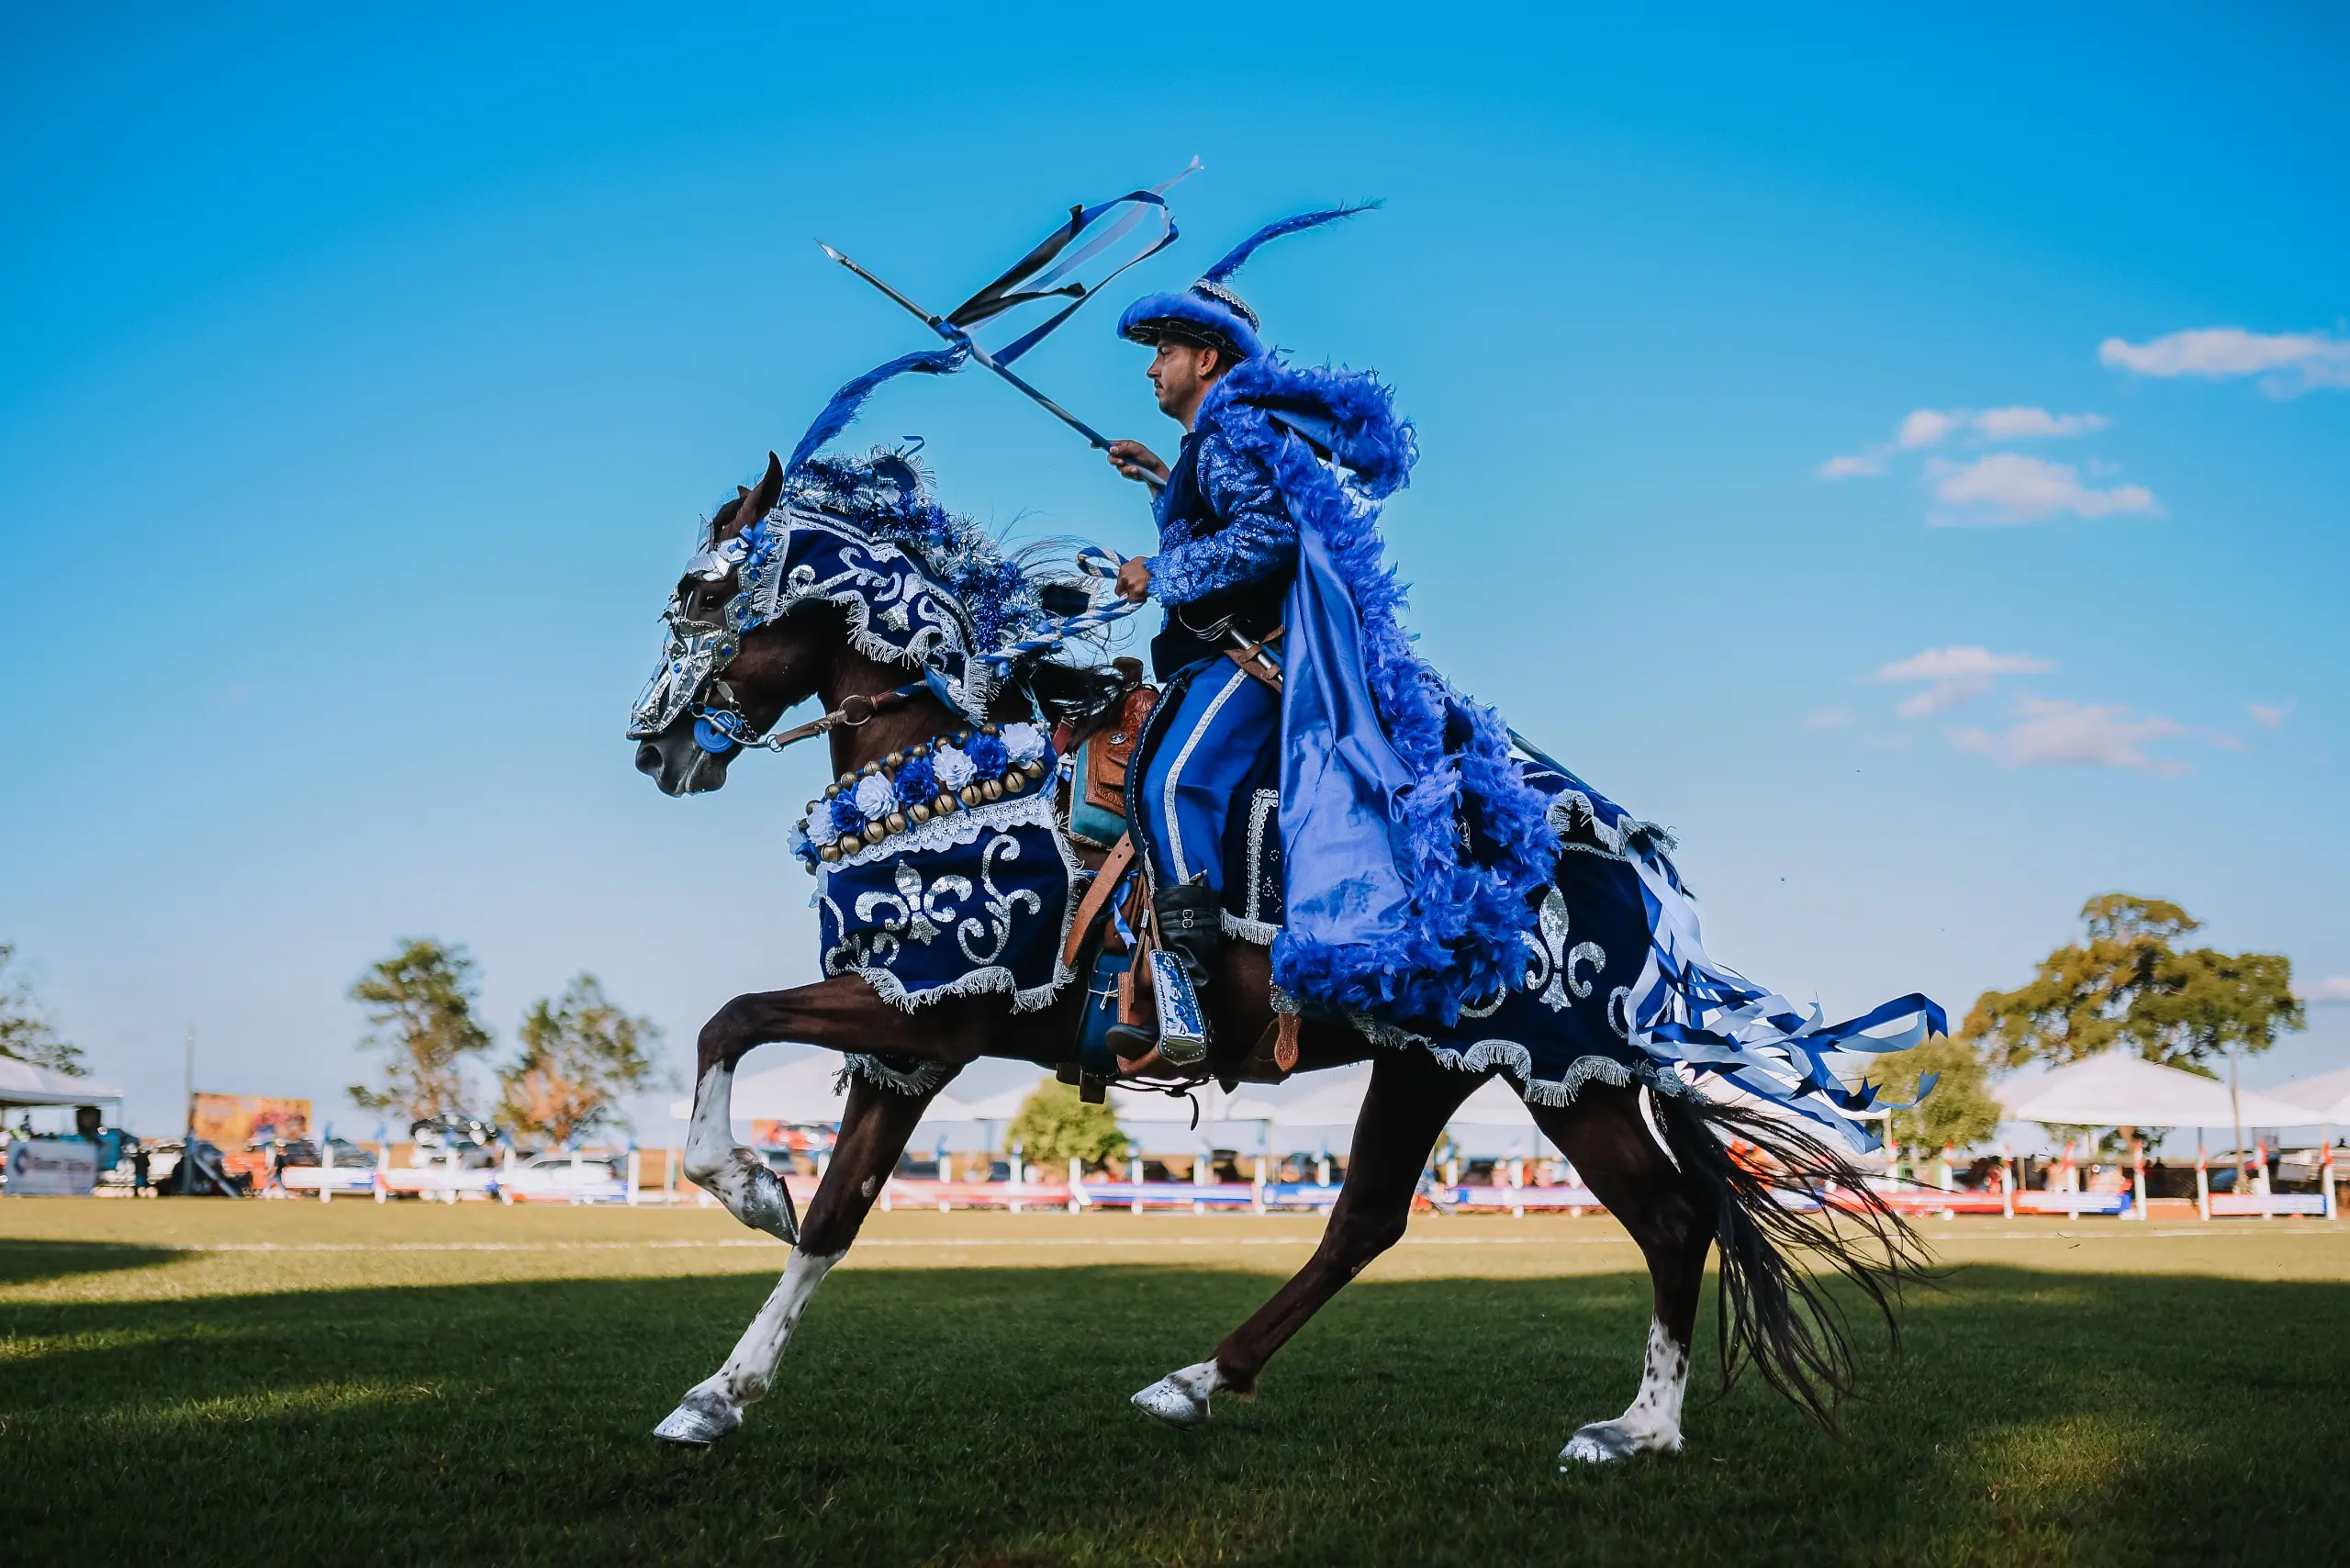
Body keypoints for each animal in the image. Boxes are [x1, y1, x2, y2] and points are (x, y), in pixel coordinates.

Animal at [634, 451, 1917, 1457]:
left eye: (700, 589)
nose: (654, 746)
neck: (946, 767)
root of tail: (1631, 860)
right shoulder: (913, 1030)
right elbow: (834, 1215)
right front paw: (720, 1391)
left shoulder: (925, 1007)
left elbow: (730, 1021)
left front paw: (745, 1184)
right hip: (1438, 1063)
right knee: (1377, 1221)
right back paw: (1201, 1379)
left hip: (1559, 1070)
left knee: (1668, 1218)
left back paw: (1637, 1427)